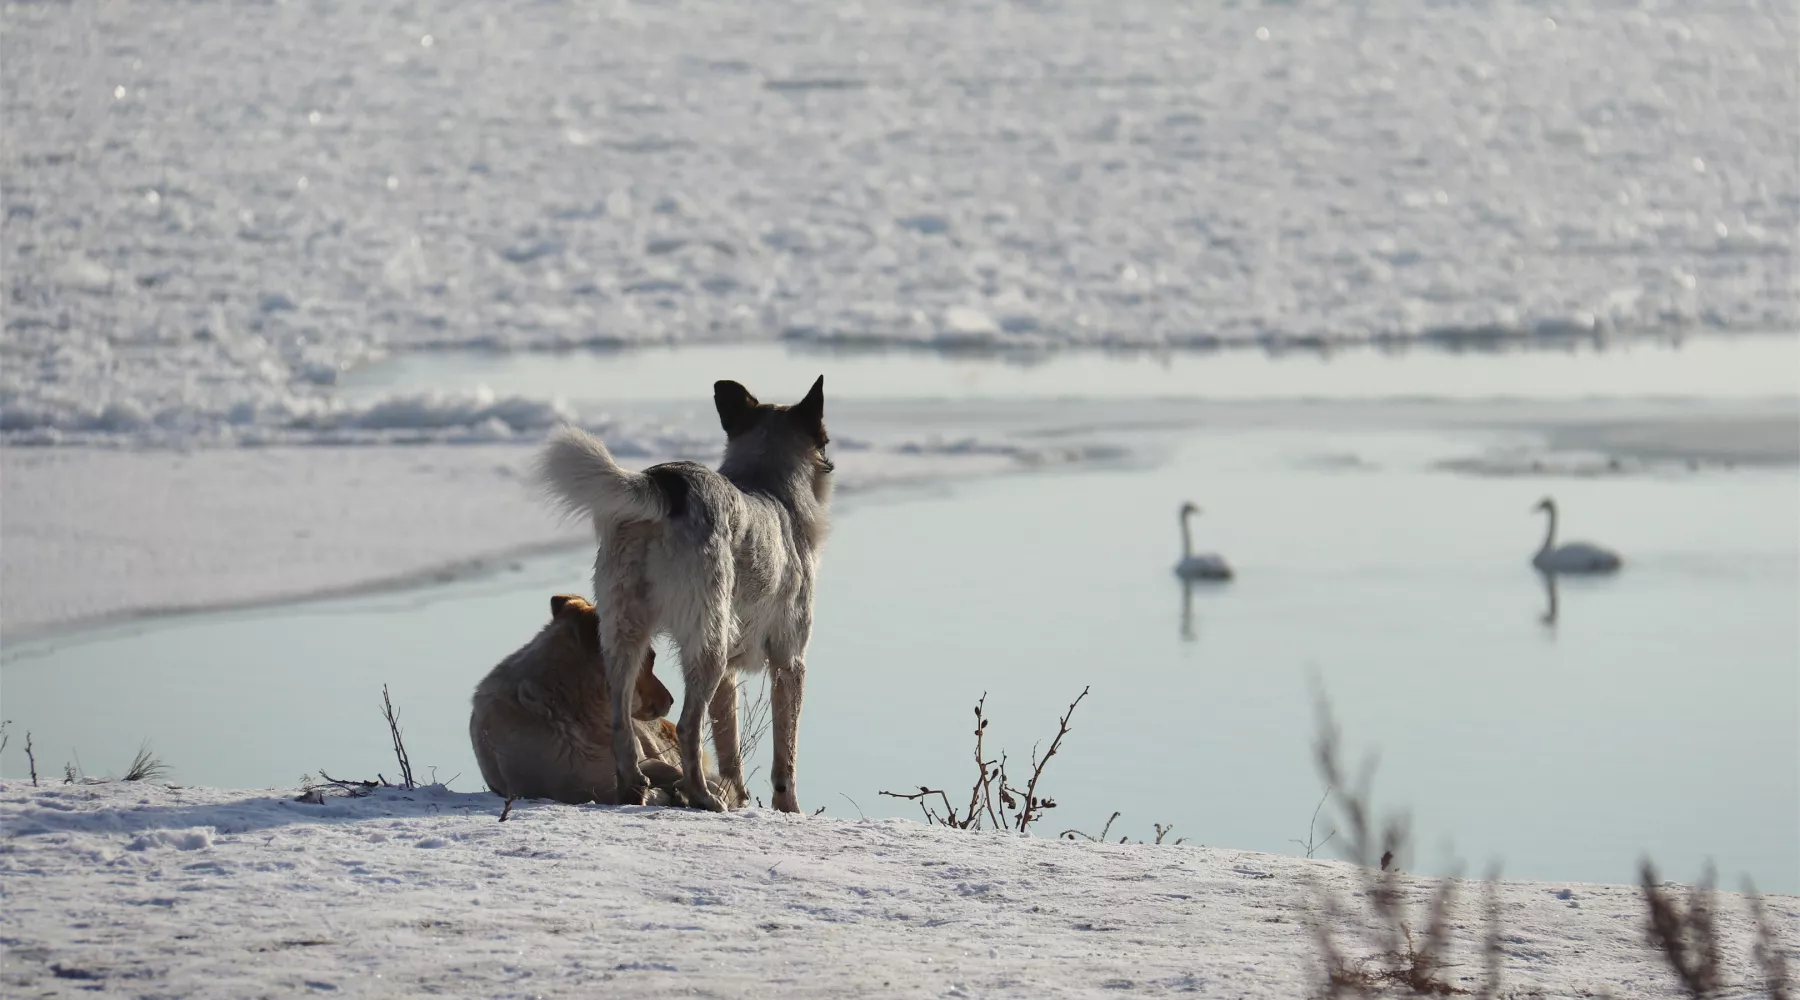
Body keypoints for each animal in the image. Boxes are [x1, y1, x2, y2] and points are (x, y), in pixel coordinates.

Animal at [529, 374, 831, 812]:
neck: (770, 488)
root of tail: (666, 485)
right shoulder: (789, 664)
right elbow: (784, 756)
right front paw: (787, 809)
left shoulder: (730, 674)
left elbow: (729, 748)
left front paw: (738, 798)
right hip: (708, 646)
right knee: (689, 725)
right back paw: (701, 796)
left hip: (624, 633)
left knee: (621, 719)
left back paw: (634, 789)